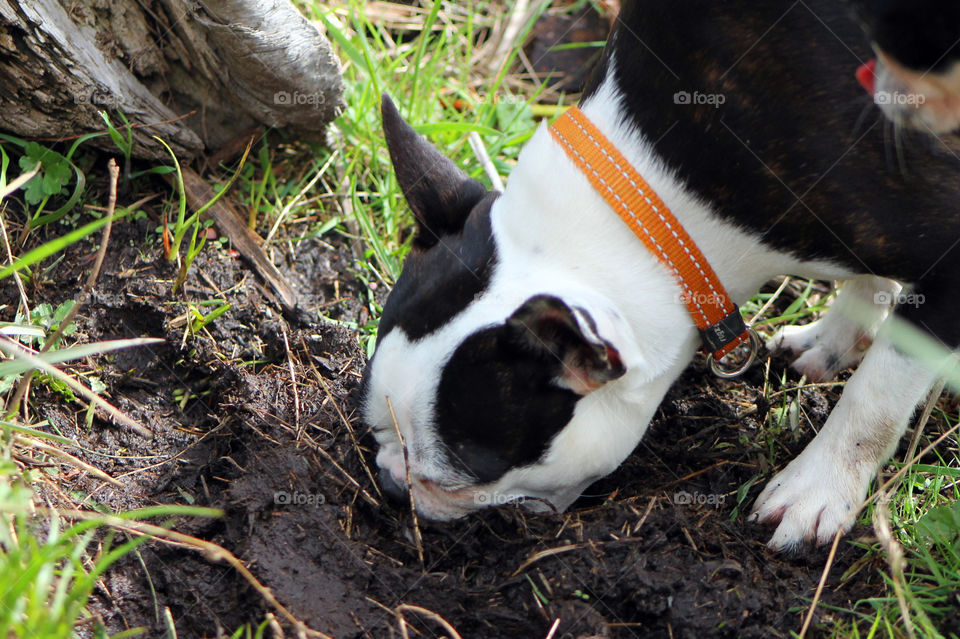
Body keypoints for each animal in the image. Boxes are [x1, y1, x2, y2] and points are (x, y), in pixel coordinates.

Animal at [362, 0, 960, 552]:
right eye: (372, 425)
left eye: (457, 479)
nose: (391, 485)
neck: (654, 196)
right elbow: (870, 278)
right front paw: (838, 338)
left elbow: (876, 396)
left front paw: (816, 488)